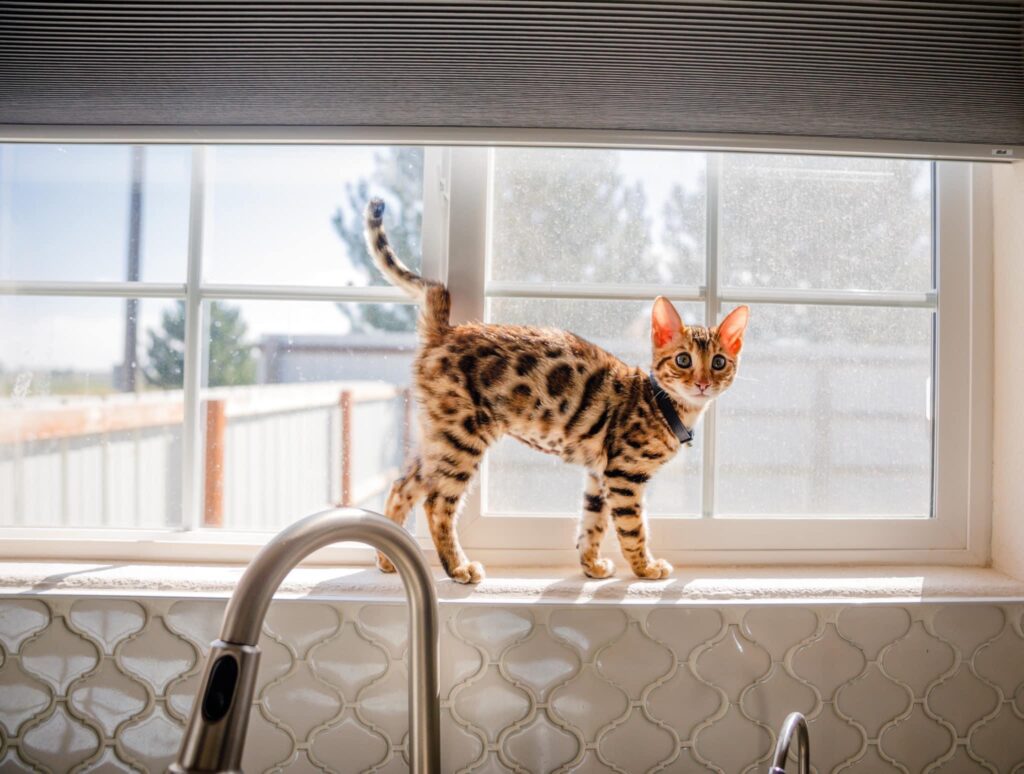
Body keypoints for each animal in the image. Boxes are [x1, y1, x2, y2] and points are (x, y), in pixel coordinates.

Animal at [364, 196, 749, 581]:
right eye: (683, 360)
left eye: (718, 362)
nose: (702, 383)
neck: (666, 407)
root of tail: (446, 330)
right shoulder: (623, 474)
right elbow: (632, 528)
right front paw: (645, 567)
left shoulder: (599, 474)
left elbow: (592, 523)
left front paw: (591, 565)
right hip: (463, 437)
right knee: (437, 502)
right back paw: (457, 566)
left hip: (439, 436)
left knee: (402, 487)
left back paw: (388, 559)